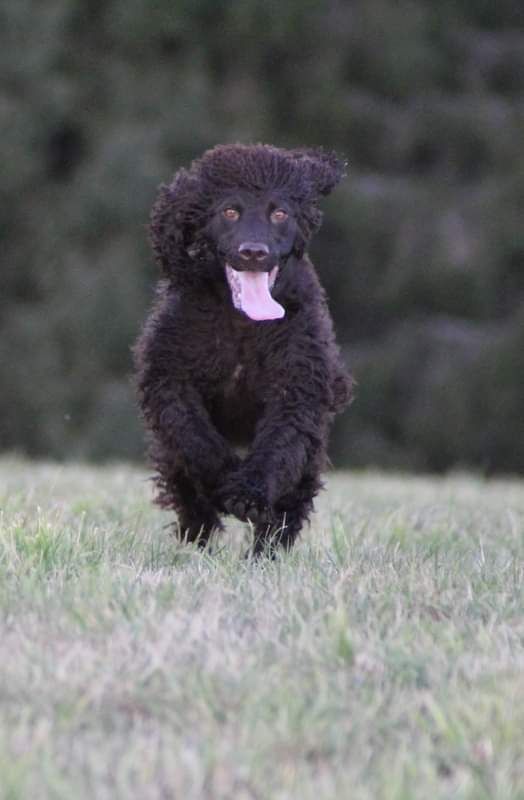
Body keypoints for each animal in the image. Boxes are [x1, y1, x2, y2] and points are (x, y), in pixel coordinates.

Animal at [134, 144, 352, 552]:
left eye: (279, 213)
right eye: (229, 211)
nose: (254, 252)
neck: (244, 326)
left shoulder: (297, 390)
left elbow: (278, 447)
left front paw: (246, 495)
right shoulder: (171, 380)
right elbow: (196, 438)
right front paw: (224, 481)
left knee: (289, 504)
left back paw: (267, 550)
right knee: (188, 496)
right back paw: (197, 541)